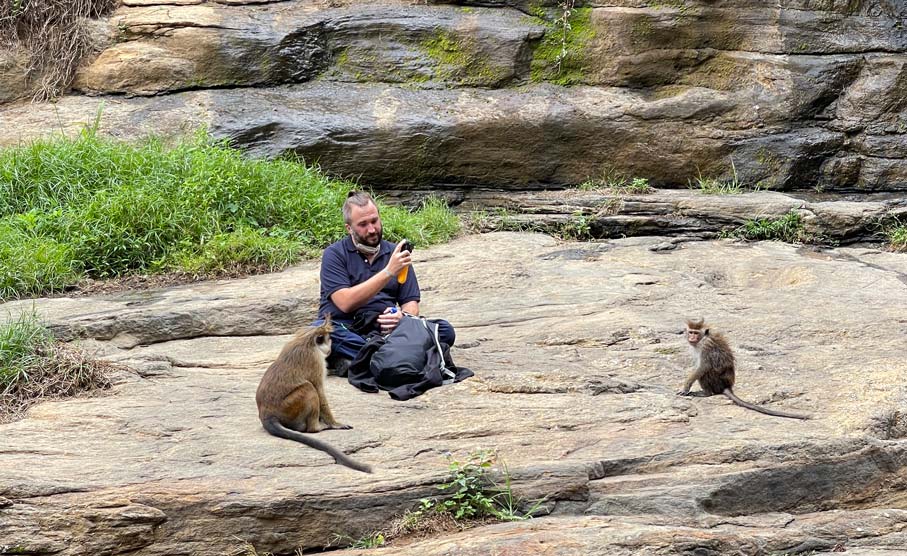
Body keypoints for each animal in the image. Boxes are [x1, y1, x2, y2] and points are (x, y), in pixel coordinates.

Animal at [255, 314, 372, 472]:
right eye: (328, 339)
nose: (330, 348)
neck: (308, 341)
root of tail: (266, 415)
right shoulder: (316, 361)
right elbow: (319, 390)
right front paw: (335, 424)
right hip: (289, 407)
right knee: (309, 388)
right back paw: (316, 428)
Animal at [676, 320, 812, 420]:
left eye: (696, 333)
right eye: (691, 332)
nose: (691, 337)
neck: (702, 339)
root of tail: (726, 386)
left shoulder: (706, 346)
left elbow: (702, 367)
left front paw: (686, 387)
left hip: (715, 382)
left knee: (705, 373)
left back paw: (706, 393)